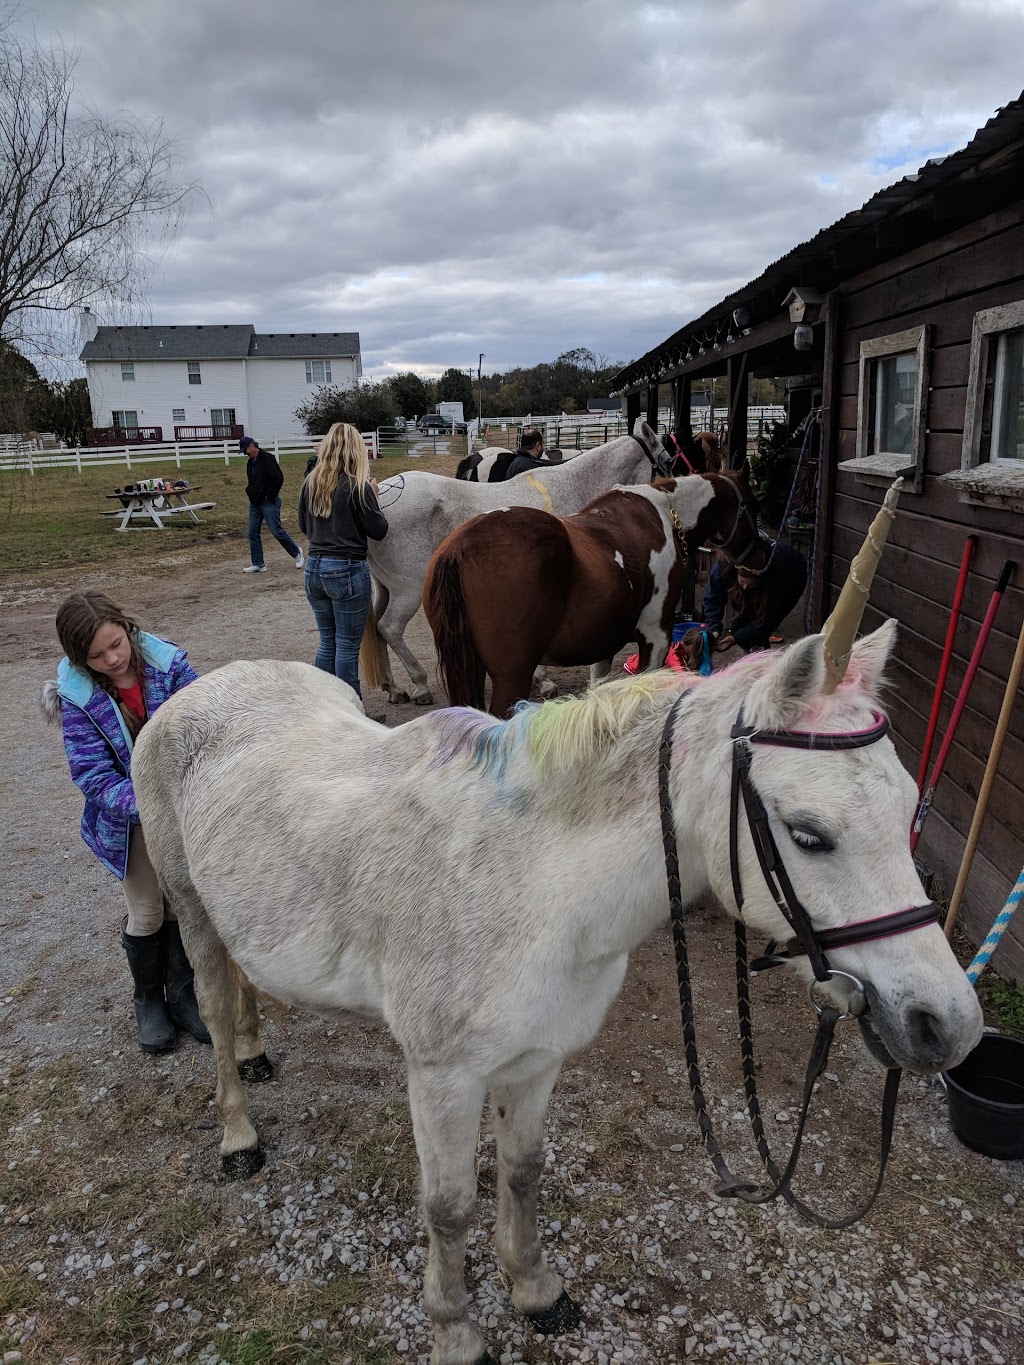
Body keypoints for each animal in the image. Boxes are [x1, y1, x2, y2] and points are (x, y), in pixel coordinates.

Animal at [132, 622, 983, 1365]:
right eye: (807, 833)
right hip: (192, 907)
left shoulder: (537, 1059)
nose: (949, 1024)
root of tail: (200, 690)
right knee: (214, 1002)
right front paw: (455, 1331)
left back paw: (255, 1049)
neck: (532, 881)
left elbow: (523, 1169)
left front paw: (534, 1289)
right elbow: (448, 1206)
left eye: (907, 807)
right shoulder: (443, 1076)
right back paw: (238, 1133)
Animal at [365, 420, 669, 704]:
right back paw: (421, 685)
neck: (572, 488)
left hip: (385, 587)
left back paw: (394, 688)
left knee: (377, 626)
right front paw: (544, 681)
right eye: (666, 461)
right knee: (389, 627)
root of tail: (378, 499)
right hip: (408, 591)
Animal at [425, 472, 753, 715]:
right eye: (750, 506)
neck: (662, 515)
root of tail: (458, 549)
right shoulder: (656, 638)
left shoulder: (604, 641)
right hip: (512, 678)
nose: (754, 556)